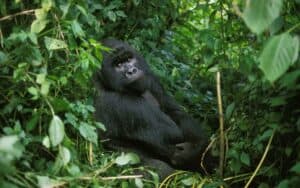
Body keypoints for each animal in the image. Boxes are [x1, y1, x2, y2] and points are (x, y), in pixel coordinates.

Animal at [94, 38, 213, 178]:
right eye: (118, 64)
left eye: (129, 59)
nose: (132, 71)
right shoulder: (116, 101)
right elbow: (173, 133)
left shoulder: (150, 77)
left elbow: (176, 112)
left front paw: (195, 147)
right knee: (162, 170)